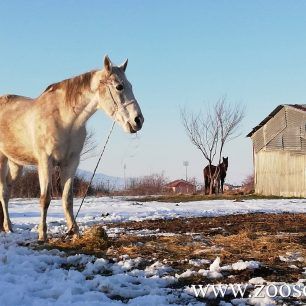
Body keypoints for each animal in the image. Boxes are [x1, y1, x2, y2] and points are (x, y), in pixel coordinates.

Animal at [0, 56, 144, 240]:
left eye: (130, 85)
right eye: (119, 86)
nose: (138, 120)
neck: (63, 119)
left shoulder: (71, 162)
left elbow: (67, 198)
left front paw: (74, 231)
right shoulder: (45, 162)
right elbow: (45, 199)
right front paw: (42, 235)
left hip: (16, 164)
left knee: (7, 192)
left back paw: (9, 227)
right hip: (2, 161)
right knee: (3, 193)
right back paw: (8, 227)